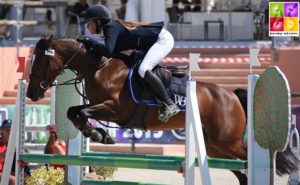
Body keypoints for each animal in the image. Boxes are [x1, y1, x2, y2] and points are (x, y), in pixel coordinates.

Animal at [27, 36, 298, 185]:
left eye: (41, 60)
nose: (32, 94)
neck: (99, 67)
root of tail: (231, 94)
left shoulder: (116, 109)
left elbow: (82, 113)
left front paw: (97, 134)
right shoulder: (98, 105)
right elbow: (73, 111)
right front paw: (99, 135)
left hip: (227, 141)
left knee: (250, 160)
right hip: (214, 146)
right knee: (240, 171)